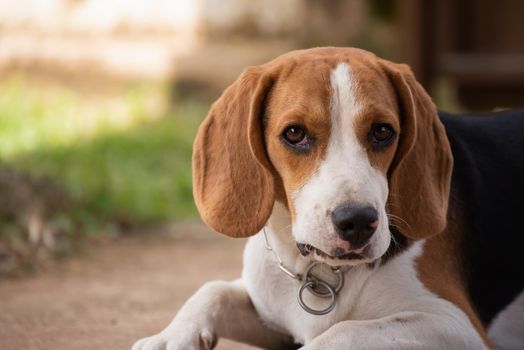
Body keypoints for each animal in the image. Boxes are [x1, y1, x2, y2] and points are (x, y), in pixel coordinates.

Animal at [132, 48, 524, 350]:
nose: (358, 222)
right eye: (294, 133)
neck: (319, 271)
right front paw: (170, 337)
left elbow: (341, 332)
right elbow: (213, 289)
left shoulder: (455, 324)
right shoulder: (270, 307)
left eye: (383, 131)